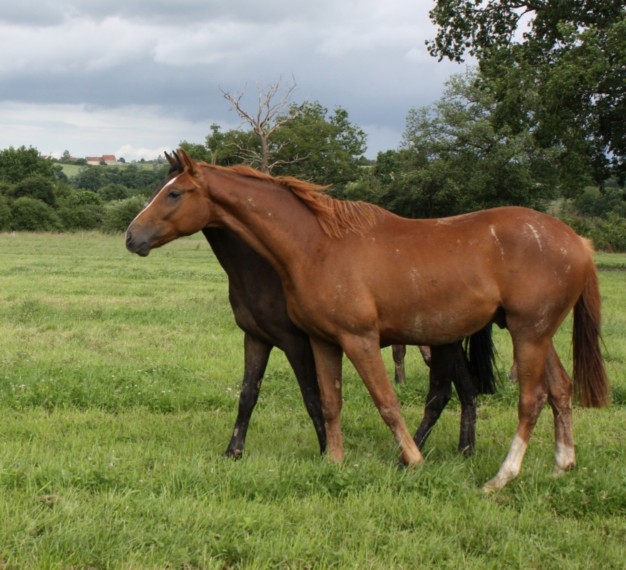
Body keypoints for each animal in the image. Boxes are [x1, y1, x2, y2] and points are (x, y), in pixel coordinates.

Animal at [124, 150, 608, 488]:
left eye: (174, 193)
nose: (131, 236)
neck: (315, 245)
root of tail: (577, 241)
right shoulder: (321, 341)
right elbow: (327, 401)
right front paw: (333, 461)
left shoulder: (356, 339)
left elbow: (385, 401)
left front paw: (413, 460)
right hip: (534, 335)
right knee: (559, 391)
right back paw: (561, 466)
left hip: (525, 334)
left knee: (529, 399)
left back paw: (501, 477)